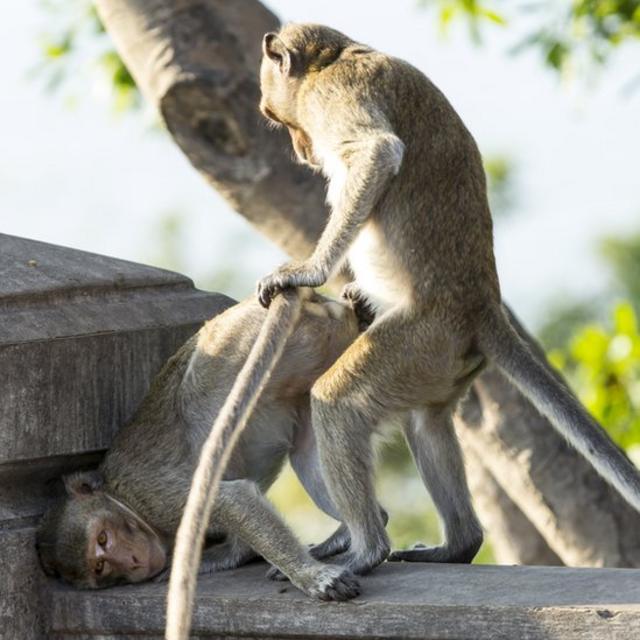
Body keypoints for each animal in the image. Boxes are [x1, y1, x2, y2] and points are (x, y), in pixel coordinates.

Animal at [36, 292, 364, 604]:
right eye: (100, 567)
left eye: (103, 538)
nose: (132, 561)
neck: (125, 501)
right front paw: (231, 554)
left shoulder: (157, 499)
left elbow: (230, 500)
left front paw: (313, 577)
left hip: (240, 340)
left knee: (197, 390)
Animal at [256, 23, 640, 576]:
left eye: (275, 115)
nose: (301, 151)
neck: (335, 58)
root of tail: (483, 304)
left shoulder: (335, 95)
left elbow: (377, 154)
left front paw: (308, 271)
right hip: (441, 359)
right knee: (428, 421)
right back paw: (458, 544)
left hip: (423, 336)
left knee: (338, 403)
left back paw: (366, 550)